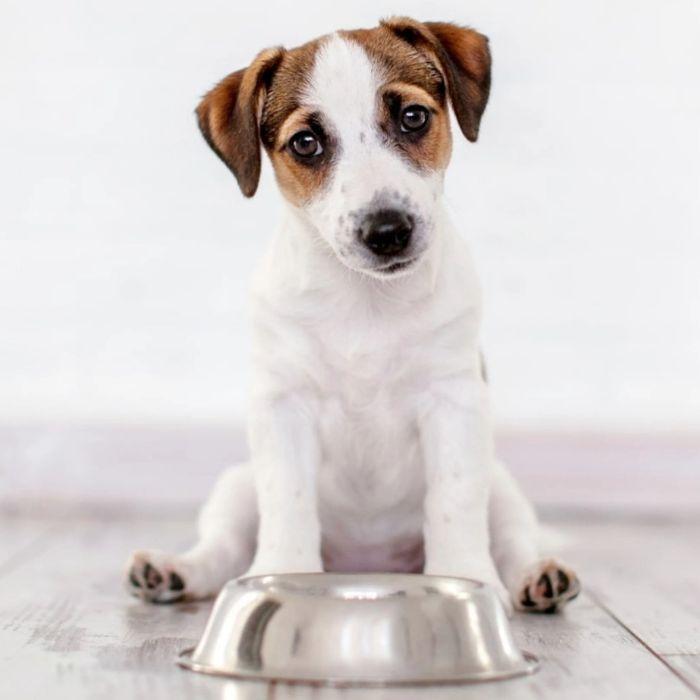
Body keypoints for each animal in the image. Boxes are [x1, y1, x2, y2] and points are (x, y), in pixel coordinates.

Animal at [124, 16, 580, 612]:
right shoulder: (282, 408)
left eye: (413, 117)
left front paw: (466, 579)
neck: (366, 301)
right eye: (307, 142)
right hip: (236, 487)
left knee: (513, 540)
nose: (387, 231)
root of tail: (367, 563)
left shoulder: (454, 403)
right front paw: (282, 574)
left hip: (502, 487)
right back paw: (173, 571)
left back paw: (539, 577)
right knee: (222, 548)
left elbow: (454, 501)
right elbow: (289, 502)